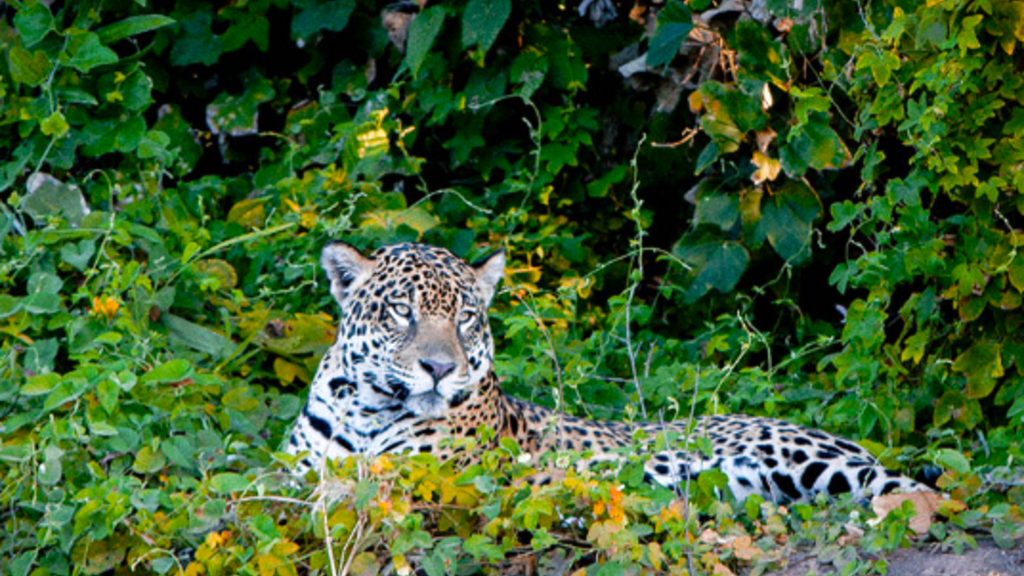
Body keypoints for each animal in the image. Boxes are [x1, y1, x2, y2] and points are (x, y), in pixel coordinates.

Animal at [286, 241, 927, 504]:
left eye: (465, 318)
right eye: (402, 311)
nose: (441, 369)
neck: (366, 409)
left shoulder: (424, 474)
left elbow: (352, 486)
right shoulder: (295, 467)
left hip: (813, 461)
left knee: (914, 490)